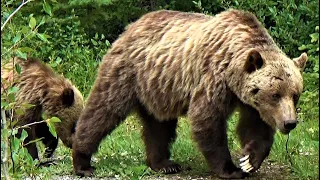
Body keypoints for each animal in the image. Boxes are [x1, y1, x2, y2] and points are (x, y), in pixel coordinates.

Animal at [71, 8, 306, 179]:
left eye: (295, 94)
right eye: (275, 94)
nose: (290, 123)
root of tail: (131, 26)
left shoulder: (248, 100)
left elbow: (255, 126)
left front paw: (249, 160)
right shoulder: (213, 78)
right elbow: (207, 119)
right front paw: (230, 168)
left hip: (158, 87)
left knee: (159, 126)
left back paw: (164, 164)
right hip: (126, 73)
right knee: (103, 110)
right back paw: (82, 161)